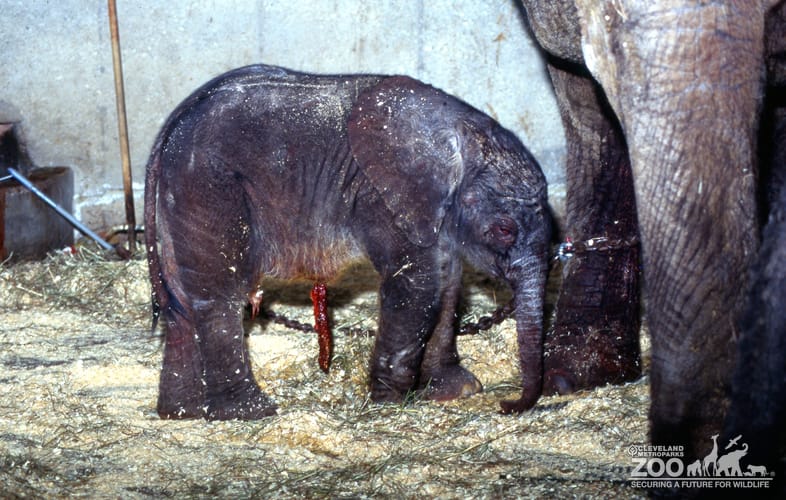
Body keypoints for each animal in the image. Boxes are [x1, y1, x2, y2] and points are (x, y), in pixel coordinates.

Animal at [144, 64, 552, 420]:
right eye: (504, 229)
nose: (507, 404)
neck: (454, 131)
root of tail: (172, 125)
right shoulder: (382, 197)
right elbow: (418, 287)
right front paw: (389, 403)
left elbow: (448, 285)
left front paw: (457, 391)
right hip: (208, 185)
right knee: (221, 295)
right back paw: (250, 413)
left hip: (183, 192)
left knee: (182, 304)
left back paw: (181, 414)